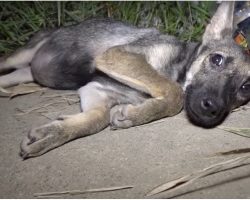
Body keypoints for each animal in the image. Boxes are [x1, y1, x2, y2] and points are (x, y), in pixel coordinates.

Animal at [0, 1, 249, 158]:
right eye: (216, 59)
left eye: (246, 87)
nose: (213, 108)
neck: (178, 67)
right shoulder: (118, 56)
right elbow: (175, 93)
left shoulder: (97, 89)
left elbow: (96, 119)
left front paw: (53, 133)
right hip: (20, 55)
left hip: (22, 73)